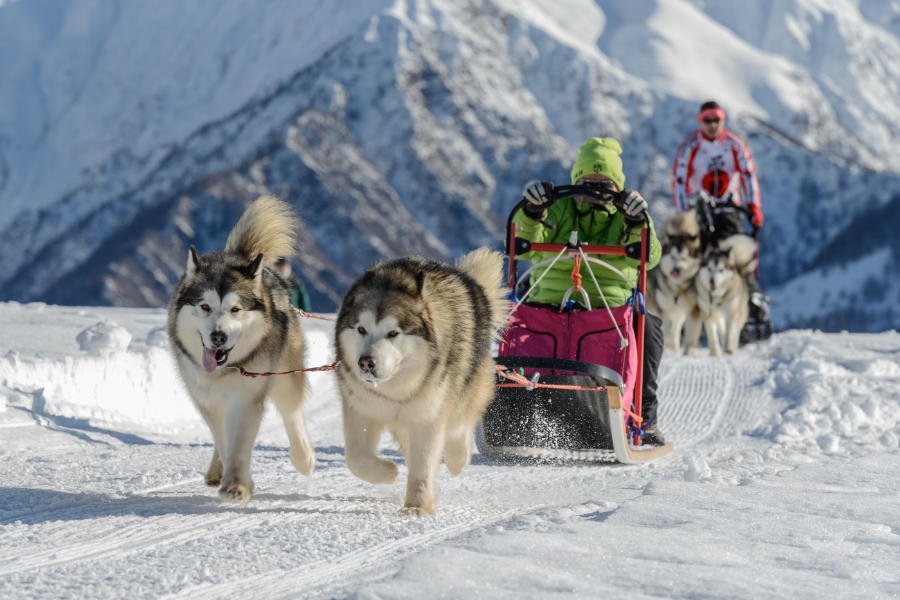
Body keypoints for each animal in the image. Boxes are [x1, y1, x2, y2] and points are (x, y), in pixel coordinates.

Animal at [169, 196, 316, 502]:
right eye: (205, 307)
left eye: (235, 309)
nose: (218, 336)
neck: (223, 372)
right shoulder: (206, 399)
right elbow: (224, 440)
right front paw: (234, 478)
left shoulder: (247, 397)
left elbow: (239, 443)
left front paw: (237, 485)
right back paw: (216, 471)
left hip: (285, 374)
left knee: (292, 412)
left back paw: (304, 458)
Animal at [336, 248, 510, 516]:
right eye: (361, 329)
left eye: (393, 333)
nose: (365, 363)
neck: (396, 389)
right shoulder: (362, 408)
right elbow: (355, 458)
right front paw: (388, 472)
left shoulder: (428, 416)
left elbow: (424, 466)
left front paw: (417, 507)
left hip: (465, 388)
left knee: (460, 425)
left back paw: (458, 458)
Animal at [648, 211, 704, 354]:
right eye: (673, 257)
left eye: (684, 258)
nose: (676, 270)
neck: (676, 285)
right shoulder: (662, 309)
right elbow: (666, 329)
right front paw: (668, 345)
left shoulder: (692, 309)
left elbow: (689, 333)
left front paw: (688, 352)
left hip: (680, 310)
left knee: (677, 327)